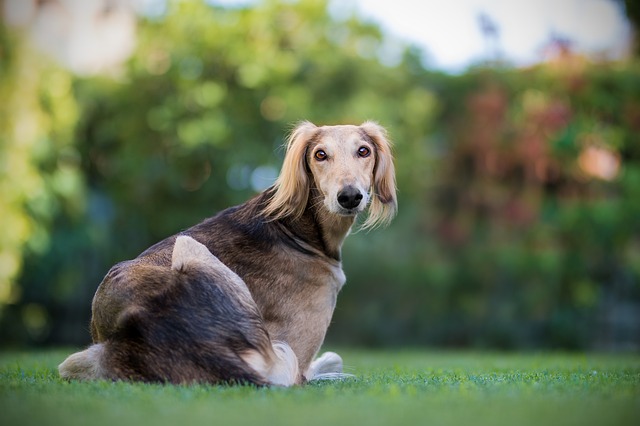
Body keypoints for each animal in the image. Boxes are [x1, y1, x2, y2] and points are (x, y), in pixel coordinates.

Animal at [62, 120, 398, 386]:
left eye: (364, 151)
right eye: (320, 154)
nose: (350, 196)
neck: (295, 227)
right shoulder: (297, 358)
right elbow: (325, 362)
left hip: (78, 359)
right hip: (189, 245)